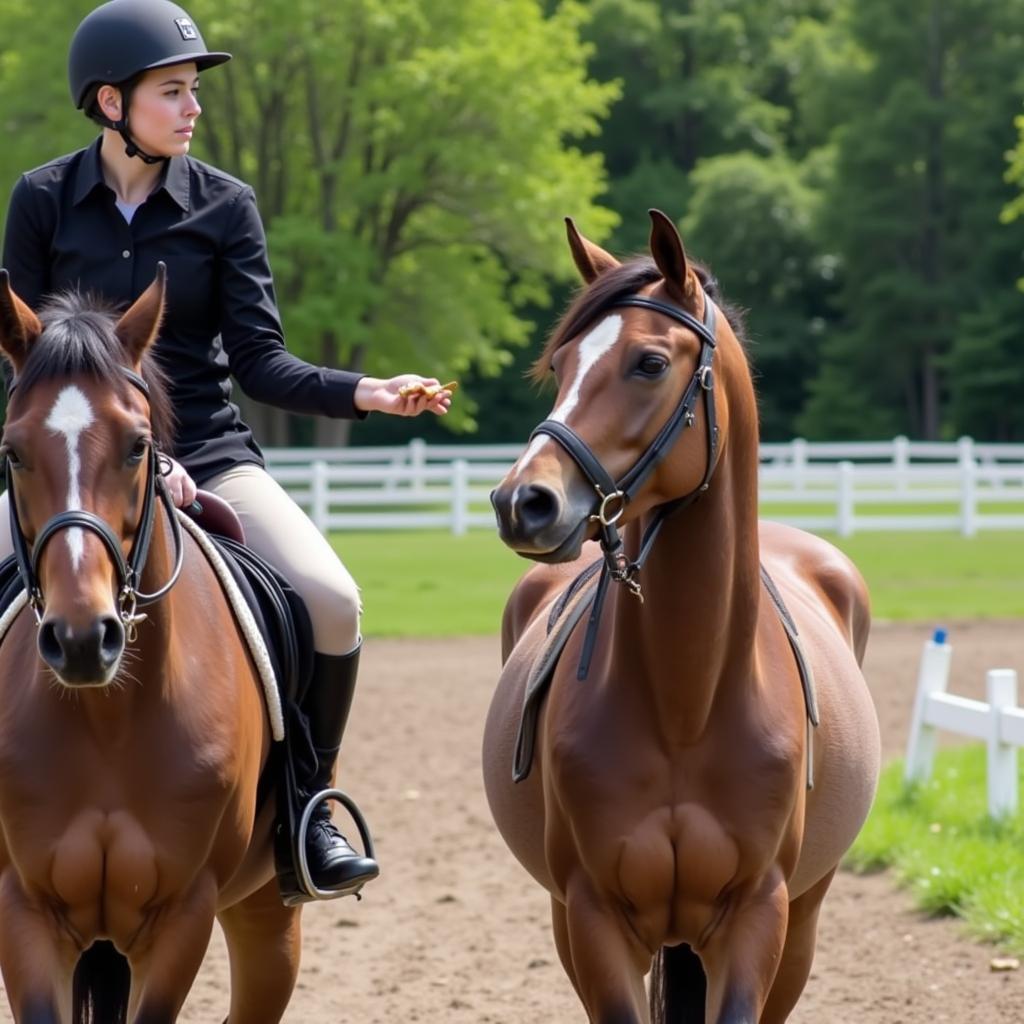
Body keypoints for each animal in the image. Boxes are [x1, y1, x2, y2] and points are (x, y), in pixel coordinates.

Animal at [0, 266, 299, 1024]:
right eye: (13, 451)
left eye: (138, 445)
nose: (82, 639)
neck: (108, 719)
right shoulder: (23, 908)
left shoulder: (182, 915)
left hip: (266, 916)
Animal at [481, 211, 880, 1019]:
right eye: (560, 366)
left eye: (649, 363)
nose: (522, 501)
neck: (687, 703)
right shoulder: (593, 919)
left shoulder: (759, 917)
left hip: (803, 919)